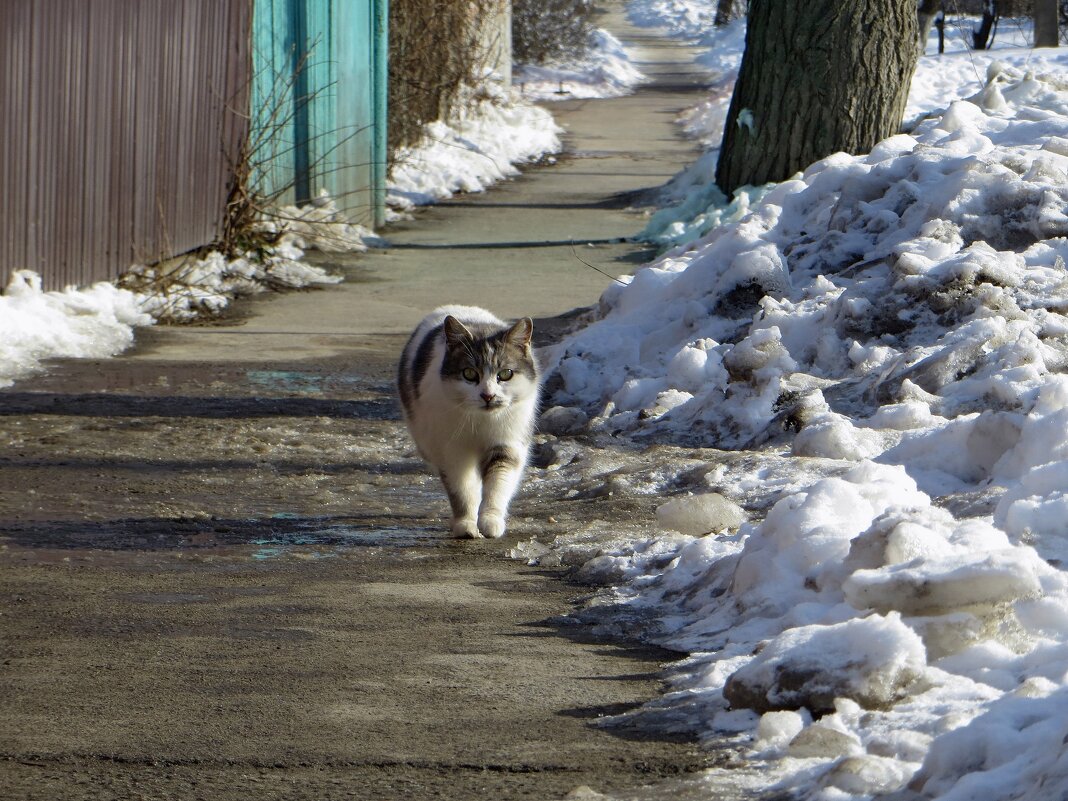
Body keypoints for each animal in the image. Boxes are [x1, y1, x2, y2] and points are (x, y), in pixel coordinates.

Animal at [397, 305, 538, 540]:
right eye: (469, 374)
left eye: (505, 374)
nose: (488, 395)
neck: (481, 421)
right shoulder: (454, 452)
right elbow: (463, 491)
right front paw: (466, 525)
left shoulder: (506, 446)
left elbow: (497, 487)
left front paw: (490, 522)